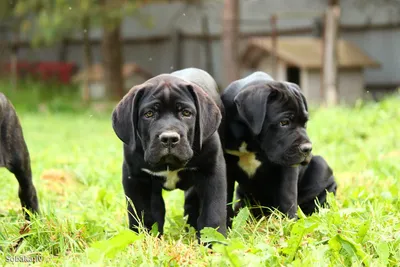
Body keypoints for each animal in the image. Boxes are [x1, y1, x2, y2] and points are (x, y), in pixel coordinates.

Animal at [111, 67, 227, 239]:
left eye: (186, 113)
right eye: (149, 114)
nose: (169, 138)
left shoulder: (212, 172)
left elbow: (213, 213)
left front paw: (214, 241)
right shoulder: (136, 178)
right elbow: (143, 213)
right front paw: (145, 239)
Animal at [222, 71, 338, 224]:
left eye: (305, 123)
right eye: (284, 122)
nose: (307, 148)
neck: (252, 142)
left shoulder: (288, 166)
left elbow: (287, 196)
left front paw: (289, 223)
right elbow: (224, 196)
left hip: (321, 166)